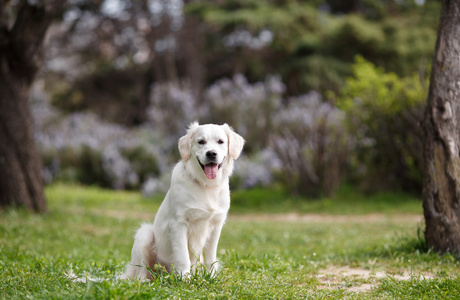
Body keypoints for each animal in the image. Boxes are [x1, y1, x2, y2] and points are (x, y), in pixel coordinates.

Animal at [121, 122, 244, 278]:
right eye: (201, 141)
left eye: (220, 142)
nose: (211, 153)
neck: (206, 185)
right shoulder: (178, 223)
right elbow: (182, 256)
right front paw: (185, 278)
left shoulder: (216, 225)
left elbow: (211, 257)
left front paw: (211, 277)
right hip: (145, 234)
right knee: (141, 272)